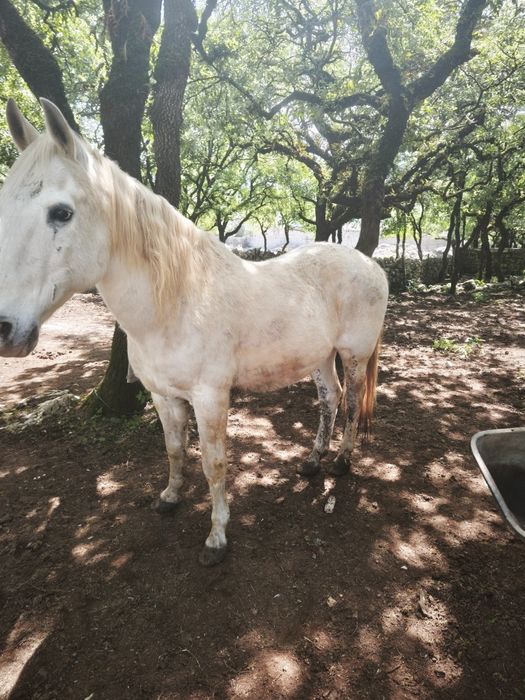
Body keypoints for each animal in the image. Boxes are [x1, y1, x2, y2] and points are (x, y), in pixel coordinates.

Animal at [0, 99, 388, 565]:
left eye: (61, 212)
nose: (5, 329)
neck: (177, 303)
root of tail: (372, 265)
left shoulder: (210, 398)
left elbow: (213, 464)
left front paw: (217, 537)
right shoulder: (163, 395)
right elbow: (174, 449)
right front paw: (169, 497)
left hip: (353, 355)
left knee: (350, 405)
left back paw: (342, 462)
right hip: (319, 357)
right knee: (329, 399)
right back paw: (312, 461)